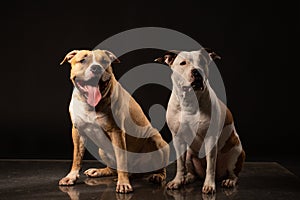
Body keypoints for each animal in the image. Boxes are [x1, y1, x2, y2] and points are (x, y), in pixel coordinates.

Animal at [59, 49, 170, 194]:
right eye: (83, 60)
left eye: (104, 61)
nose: (96, 68)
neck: (90, 104)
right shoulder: (78, 131)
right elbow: (77, 157)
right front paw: (71, 177)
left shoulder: (116, 132)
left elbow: (121, 159)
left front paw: (123, 183)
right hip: (102, 150)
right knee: (112, 169)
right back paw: (99, 171)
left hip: (156, 140)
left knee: (159, 168)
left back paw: (157, 176)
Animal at [156, 48, 245, 194]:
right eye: (183, 63)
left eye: (202, 62)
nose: (197, 71)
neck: (189, 101)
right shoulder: (178, 139)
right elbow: (180, 164)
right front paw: (177, 181)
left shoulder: (210, 139)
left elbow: (210, 165)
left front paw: (209, 185)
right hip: (189, 155)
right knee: (193, 172)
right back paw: (187, 178)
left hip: (235, 153)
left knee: (233, 173)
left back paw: (229, 181)